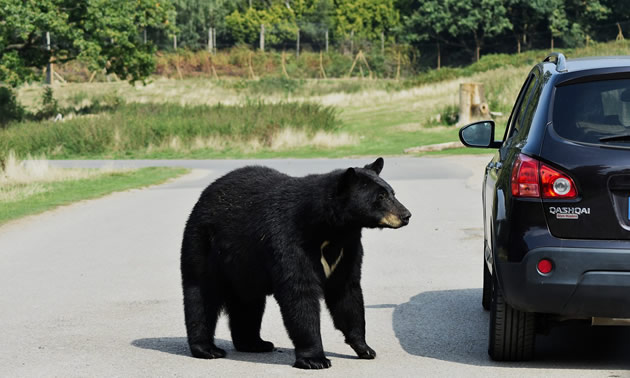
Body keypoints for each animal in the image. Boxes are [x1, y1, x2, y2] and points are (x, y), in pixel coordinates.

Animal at [180, 157, 412, 370]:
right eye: (380, 196)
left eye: (392, 192)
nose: (406, 215)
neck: (331, 229)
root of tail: (204, 195)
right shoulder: (290, 239)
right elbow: (300, 293)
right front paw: (315, 359)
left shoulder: (348, 248)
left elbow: (347, 291)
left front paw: (365, 348)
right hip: (203, 244)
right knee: (201, 295)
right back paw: (207, 349)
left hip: (245, 266)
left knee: (248, 303)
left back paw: (255, 343)